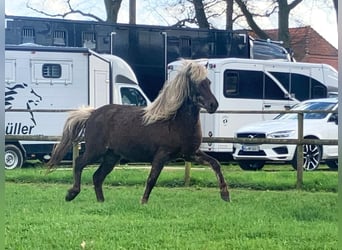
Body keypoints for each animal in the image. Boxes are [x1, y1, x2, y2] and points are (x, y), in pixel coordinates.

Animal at [48, 59, 230, 204]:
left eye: (208, 82)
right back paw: (71, 193)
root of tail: (92, 114)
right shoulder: (161, 155)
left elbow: (216, 164)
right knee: (79, 163)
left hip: (111, 156)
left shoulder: (190, 154)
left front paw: (225, 195)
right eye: (196, 83)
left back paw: (101, 201)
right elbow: (151, 179)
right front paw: (143, 201)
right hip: (95, 151)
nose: (213, 105)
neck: (175, 122)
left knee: (97, 176)